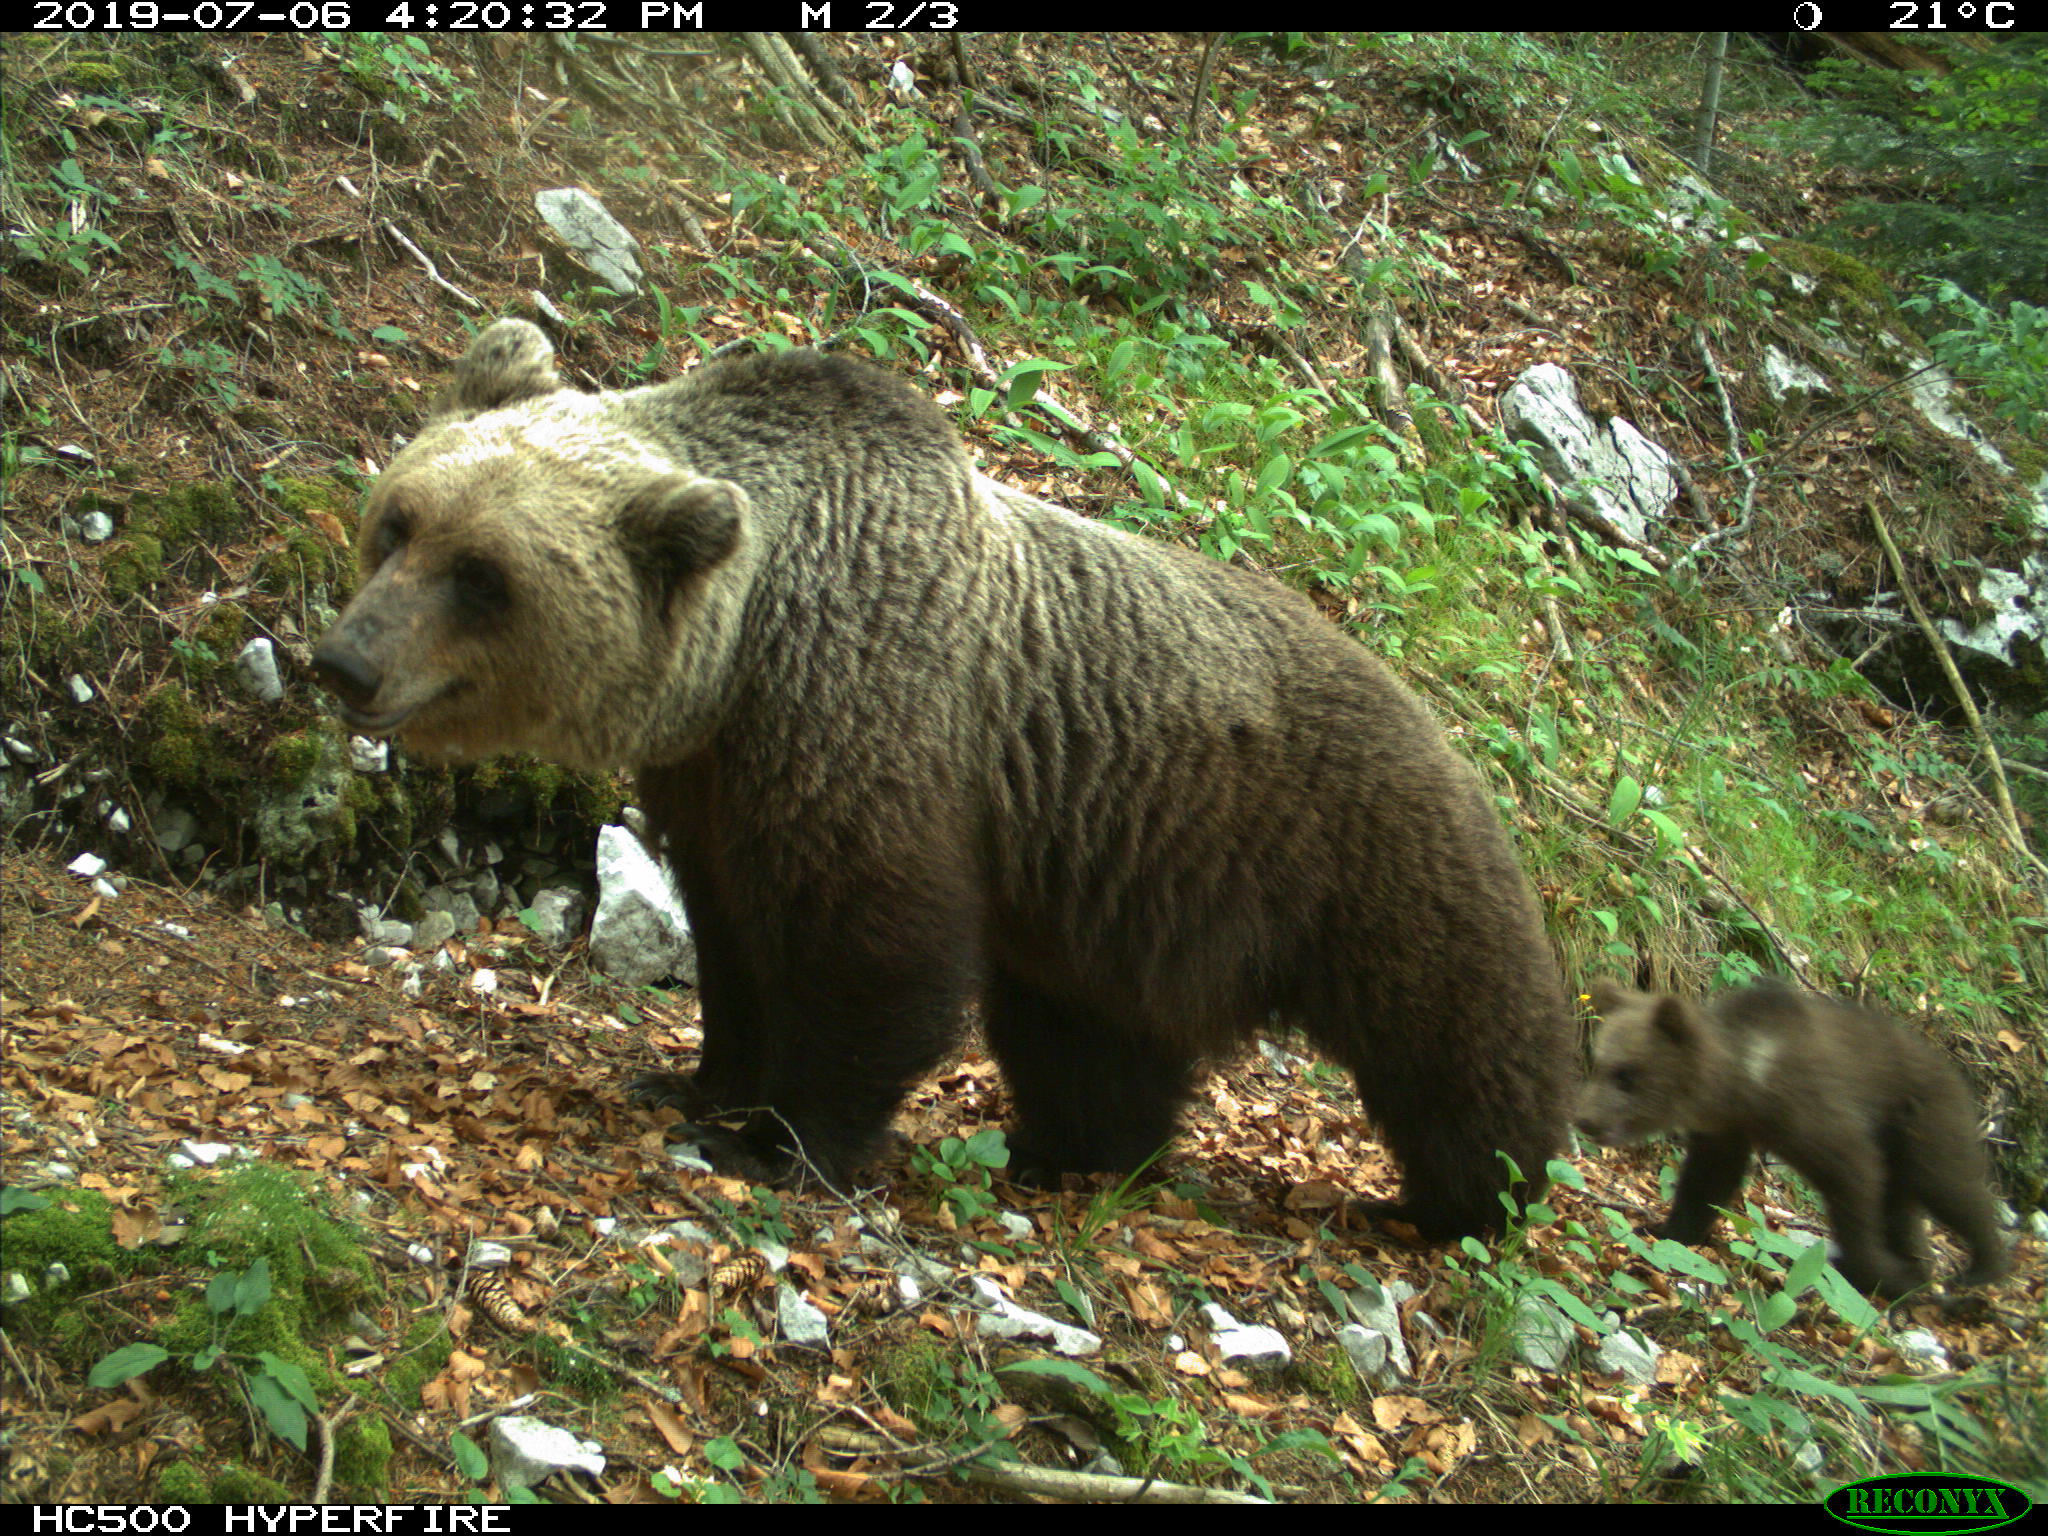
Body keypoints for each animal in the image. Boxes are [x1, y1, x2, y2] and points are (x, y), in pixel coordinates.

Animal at [312, 318, 1576, 1239]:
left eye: (484, 576)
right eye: (399, 522)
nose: (345, 660)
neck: (748, 654)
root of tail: (1453, 725)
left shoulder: (868, 729)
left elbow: (872, 954)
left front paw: (785, 1145)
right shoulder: (717, 782)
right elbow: (733, 952)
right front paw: (696, 1086)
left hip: (1360, 852)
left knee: (1453, 1039)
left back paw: (1464, 1201)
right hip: (1113, 906)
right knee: (1084, 1040)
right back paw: (1070, 1153)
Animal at [1577, 977, 2007, 1293]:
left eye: (1627, 1075)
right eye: (1598, 1063)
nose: (1586, 1120)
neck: (1745, 1085)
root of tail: (1953, 1068)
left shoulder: (1813, 1113)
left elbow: (1854, 1176)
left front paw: (1869, 1269)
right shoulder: (1726, 1131)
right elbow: (1706, 1182)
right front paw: (1665, 1229)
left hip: (1923, 1117)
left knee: (1947, 1184)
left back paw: (1982, 1267)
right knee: (1903, 1204)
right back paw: (1919, 1265)